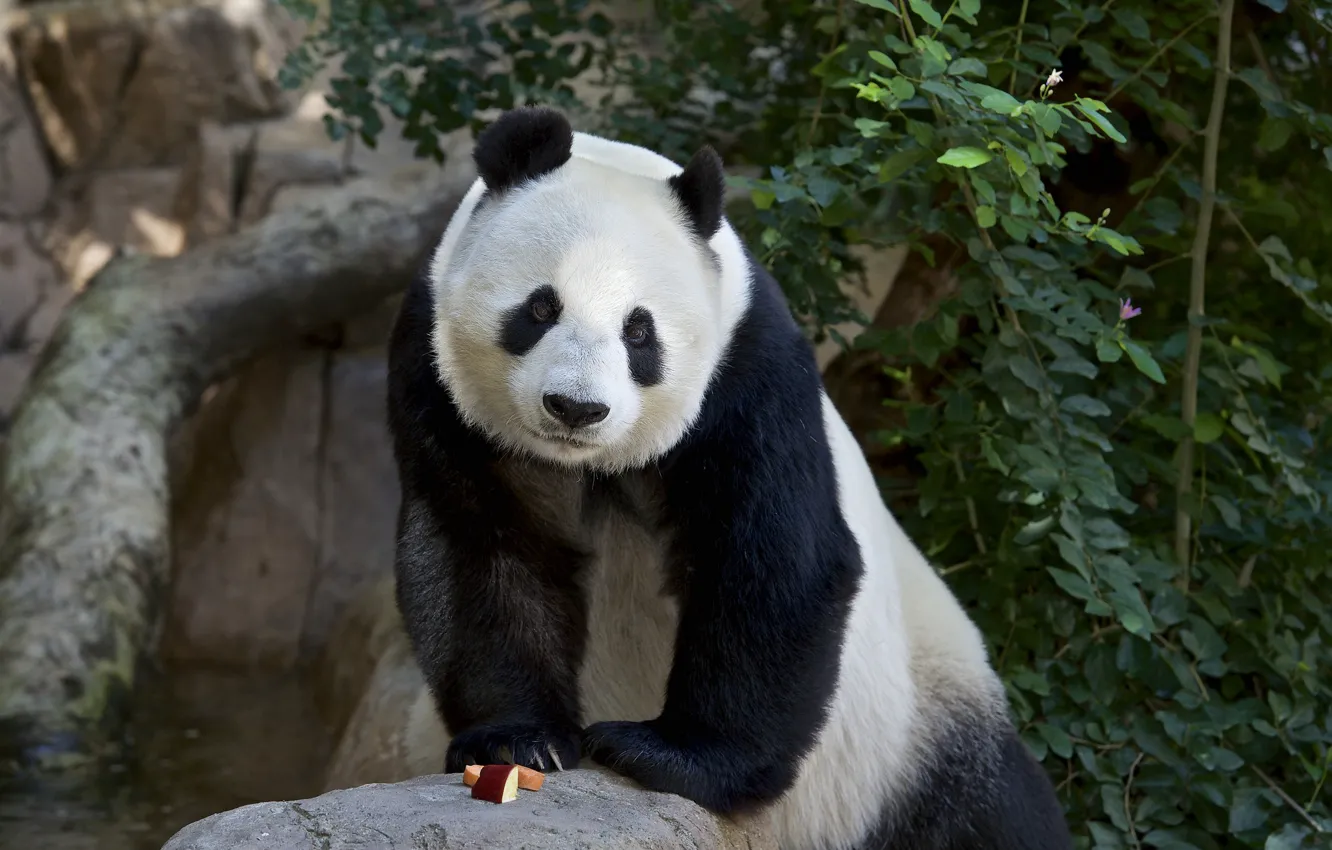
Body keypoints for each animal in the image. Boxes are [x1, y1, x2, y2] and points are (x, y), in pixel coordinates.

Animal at [385, 106, 1074, 850]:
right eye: (541, 309)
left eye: (639, 331)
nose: (576, 408)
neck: (591, 464)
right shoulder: (435, 373)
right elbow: (484, 549)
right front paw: (517, 742)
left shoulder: (748, 371)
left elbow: (768, 560)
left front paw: (672, 757)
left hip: (913, 727)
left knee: (987, 812)